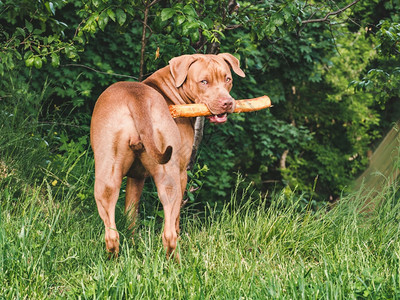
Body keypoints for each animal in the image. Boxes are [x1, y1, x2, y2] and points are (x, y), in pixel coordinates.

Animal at [90, 53, 245, 258]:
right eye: (204, 81)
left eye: (228, 79)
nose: (227, 103)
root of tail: (136, 99)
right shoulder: (182, 172)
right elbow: (176, 218)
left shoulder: (135, 177)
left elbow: (131, 214)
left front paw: (133, 242)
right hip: (171, 179)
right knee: (170, 232)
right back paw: (176, 259)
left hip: (107, 178)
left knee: (111, 234)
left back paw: (113, 259)